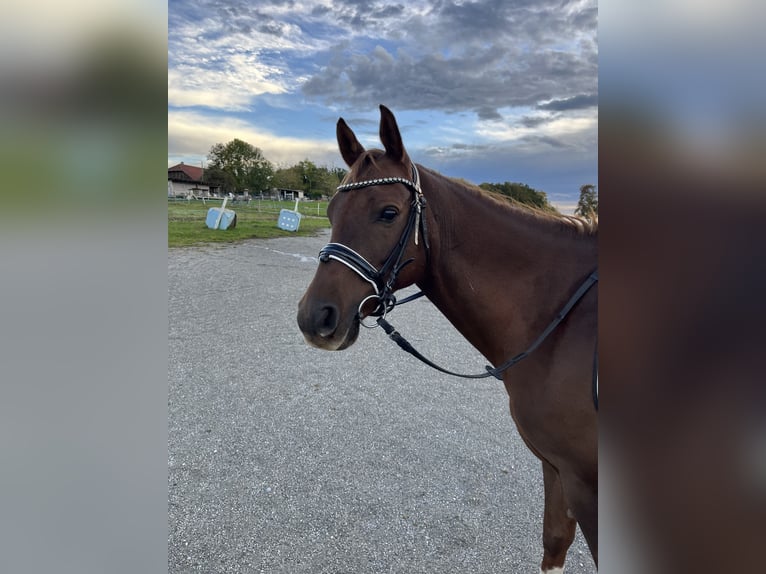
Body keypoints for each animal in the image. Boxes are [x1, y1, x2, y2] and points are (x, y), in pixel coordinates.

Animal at [296, 106, 596, 572]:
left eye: (388, 212)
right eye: (330, 210)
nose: (315, 317)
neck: (565, 320)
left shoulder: (589, 486)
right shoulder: (559, 468)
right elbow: (553, 544)